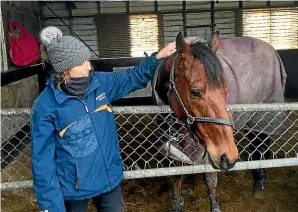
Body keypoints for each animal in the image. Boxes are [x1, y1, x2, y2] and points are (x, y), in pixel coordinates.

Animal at [152, 31, 288, 212]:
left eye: (226, 90)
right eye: (195, 92)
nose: (230, 157)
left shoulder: (211, 148)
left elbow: (210, 179)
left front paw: (215, 206)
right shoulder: (173, 140)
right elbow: (176, 172)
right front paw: (177, 202)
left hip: (263, 114)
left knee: (261, 144)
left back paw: (259, 183)